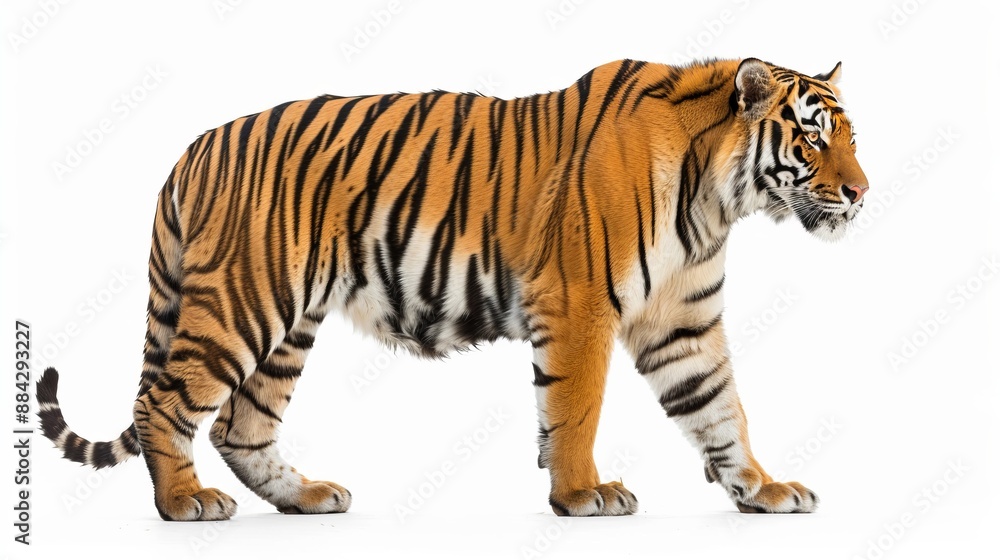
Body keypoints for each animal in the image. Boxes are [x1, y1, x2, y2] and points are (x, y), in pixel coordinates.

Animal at [37, 57, 868, 520]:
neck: (715, 197)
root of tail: (195, 145)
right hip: (241, 302)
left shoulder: (681, 321)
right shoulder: (578, 305)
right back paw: (185, 504)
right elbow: (576, 409)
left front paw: (763, 490)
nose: (862, 193)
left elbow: (721, 408)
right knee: (161, 404)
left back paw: (305, 498)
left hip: (287, 322)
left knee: (239, 427)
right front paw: (582, 495)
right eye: (812, 138)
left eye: (853, 138)